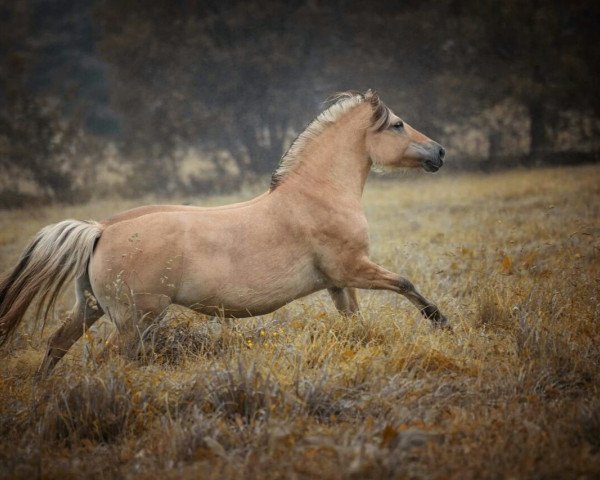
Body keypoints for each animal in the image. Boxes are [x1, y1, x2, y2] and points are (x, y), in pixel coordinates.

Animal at [0, 88, 450, 376]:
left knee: (57, 345)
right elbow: (406, 283)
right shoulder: (355, 268)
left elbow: (355, 323)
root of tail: (100, 230)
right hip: (136, 320)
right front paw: (441, 323)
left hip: (91, 308)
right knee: (108, 359)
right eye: (397, 125)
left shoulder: (338, 283)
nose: (440, 152)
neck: (316, 194)